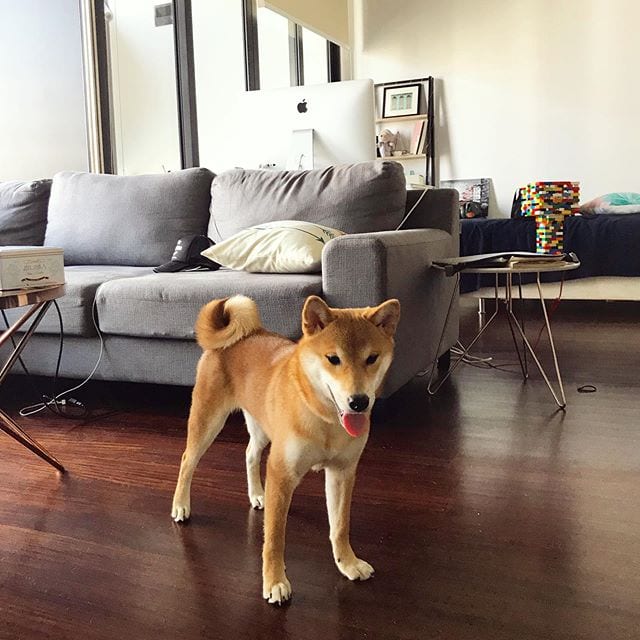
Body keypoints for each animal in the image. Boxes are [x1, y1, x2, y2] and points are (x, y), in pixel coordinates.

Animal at [170, 296, 400, 604]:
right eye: (333, 359)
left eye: (372, 358)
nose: (359, 402)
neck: (325, 420)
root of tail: (248, 333)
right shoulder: (282, 474)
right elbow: (274, 538)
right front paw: (275, 582)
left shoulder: (342, 473)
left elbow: (340, 526)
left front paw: (347, 563)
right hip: (208, 422)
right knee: (187, 460)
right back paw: (181, 506)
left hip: (261, 427)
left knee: (250, 454)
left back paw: (257, 494)